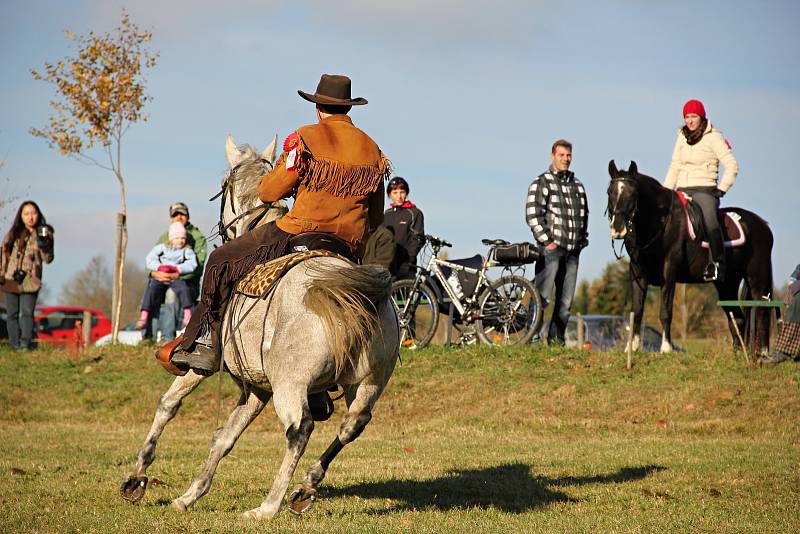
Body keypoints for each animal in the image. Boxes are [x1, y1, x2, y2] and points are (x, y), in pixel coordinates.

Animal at [120, 136, 400, 520]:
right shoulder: (256, 388)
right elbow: (224, 437)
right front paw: (190, 495)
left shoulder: (207, 369)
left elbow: (169, 404)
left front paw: (137, 478)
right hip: (367, 384)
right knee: (352, 425)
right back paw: (305, 488)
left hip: (291, 386)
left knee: (300, 430)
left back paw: (268, 506)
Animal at [608, 161, 772, 354]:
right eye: (610, 192)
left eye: (633, 194)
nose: (618, 228)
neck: (661, 222)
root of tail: (762, 224)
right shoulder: (638, 273)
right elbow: (637, 310)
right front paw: (632, 348)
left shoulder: (669, 271)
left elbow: (666, 311)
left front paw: (666, 348)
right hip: (727, 283)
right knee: (738, 318)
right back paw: (738, 353)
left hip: (757, 278)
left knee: (762, 312)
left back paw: (762, 352)